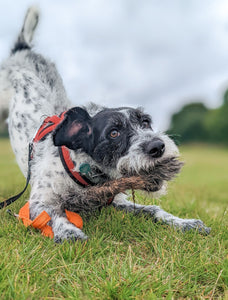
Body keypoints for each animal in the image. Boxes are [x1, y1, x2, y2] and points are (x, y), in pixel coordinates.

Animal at [0, 6, 210, 241]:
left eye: (146, 122)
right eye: (113, 133)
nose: (157, 146)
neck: (82, 169)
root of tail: (22, 51)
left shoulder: (116, 200)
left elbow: (154, 209)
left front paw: (185, 222)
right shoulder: (39, 201)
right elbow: (51, 216)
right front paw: (70, 232)